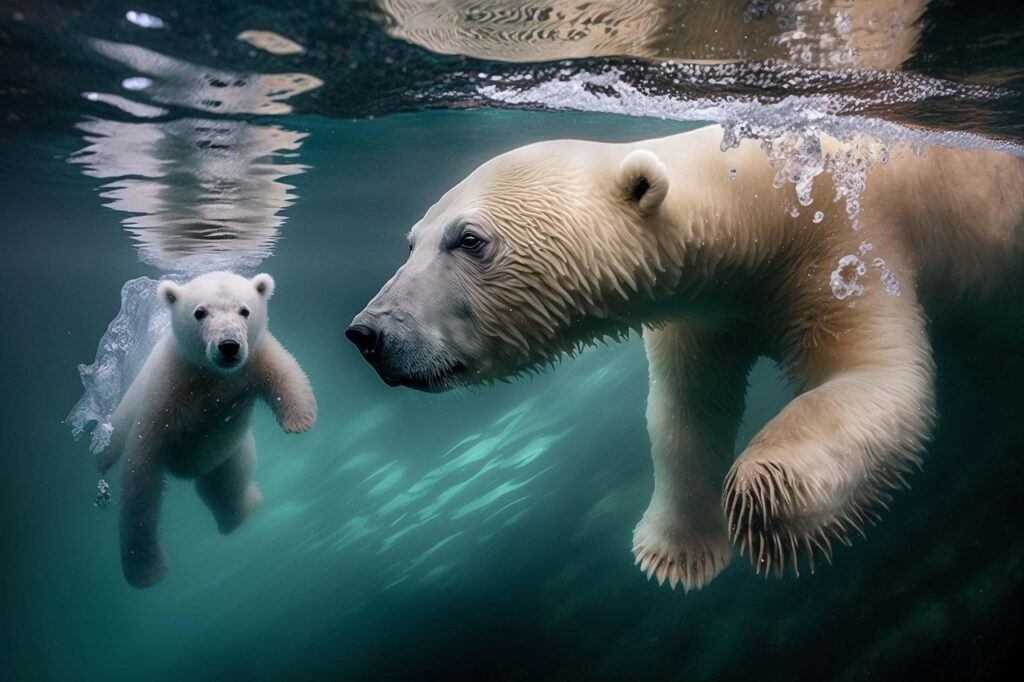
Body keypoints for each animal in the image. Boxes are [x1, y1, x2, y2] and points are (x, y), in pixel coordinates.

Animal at [98, 271, 317, 588]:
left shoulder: (252, 361)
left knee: (225, 485)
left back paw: (243, 509)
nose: (229, 345)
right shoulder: (168, 387)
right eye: (199, 312)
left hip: (230, 455)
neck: (211, 376)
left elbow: (285, 370)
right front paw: (146, 571)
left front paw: (299, 421)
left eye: (244, 311)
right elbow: (141, 481)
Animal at [346, 124, 1024, 591]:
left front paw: (761, 503)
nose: (368, 334)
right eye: (411, 241)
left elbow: (873, 376)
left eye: (469, 239)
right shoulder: (706, 311)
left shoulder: (845, 243)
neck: (757, 199)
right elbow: (685, 415)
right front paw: (673, 552)